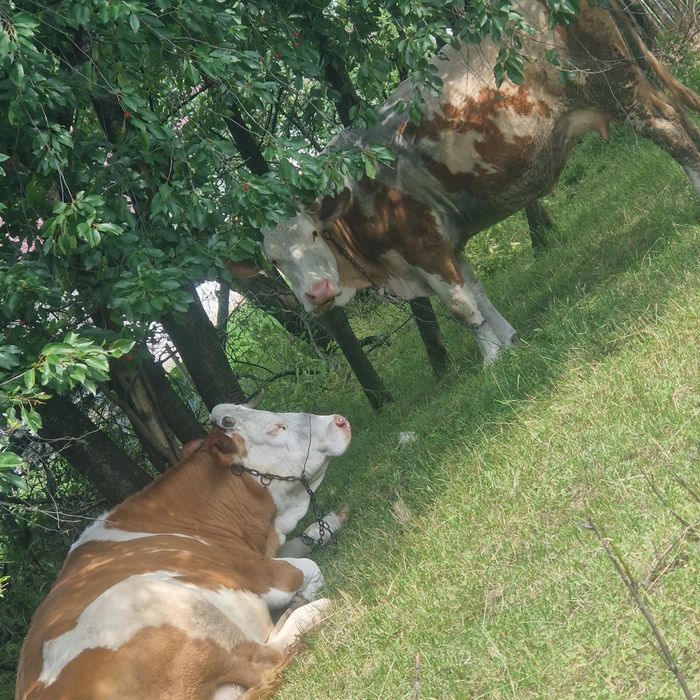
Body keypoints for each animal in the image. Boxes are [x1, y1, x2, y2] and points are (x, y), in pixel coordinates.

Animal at [15, 404, 352, 700]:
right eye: (275, 427)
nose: (339, 420)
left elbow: (307, 538)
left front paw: (333, 519)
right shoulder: (257, 573)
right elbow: (309, 567)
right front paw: (306, 594)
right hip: (165, 604)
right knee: (263, 662)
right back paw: (312, 610)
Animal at [256, 0, 700, 365]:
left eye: (313, 234)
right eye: (275, 261)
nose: (316, 294)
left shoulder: (424, 244)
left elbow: (460, 305)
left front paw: (490, 360)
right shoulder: (446, 244)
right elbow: (479, 294)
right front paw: (508, 341)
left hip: (613, 84)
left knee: (668, 129)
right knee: (680, 115)